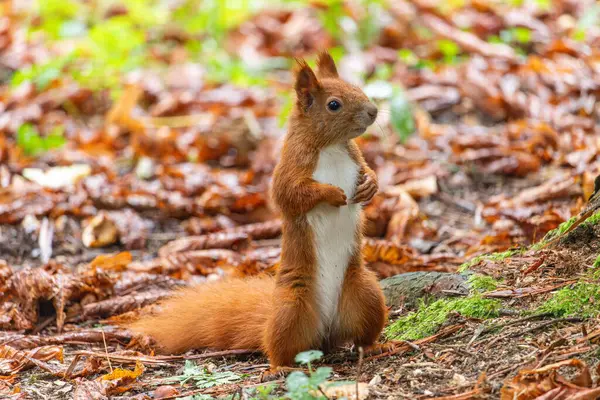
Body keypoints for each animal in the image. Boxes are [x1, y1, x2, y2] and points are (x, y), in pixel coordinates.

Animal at [128, 52, 386, 368]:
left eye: (357, 87)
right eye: (334, 104)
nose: (373, 111)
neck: (332, 147)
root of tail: (326, 332)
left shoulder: (354, 157)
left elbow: (367, 171)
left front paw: (370, 185)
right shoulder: (289, 167)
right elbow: (290, 195)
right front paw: (333, 193)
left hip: (366, 293)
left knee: (364, 332)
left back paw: (375, 347)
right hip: (291, 309)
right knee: (279, 346)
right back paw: (277, 368)